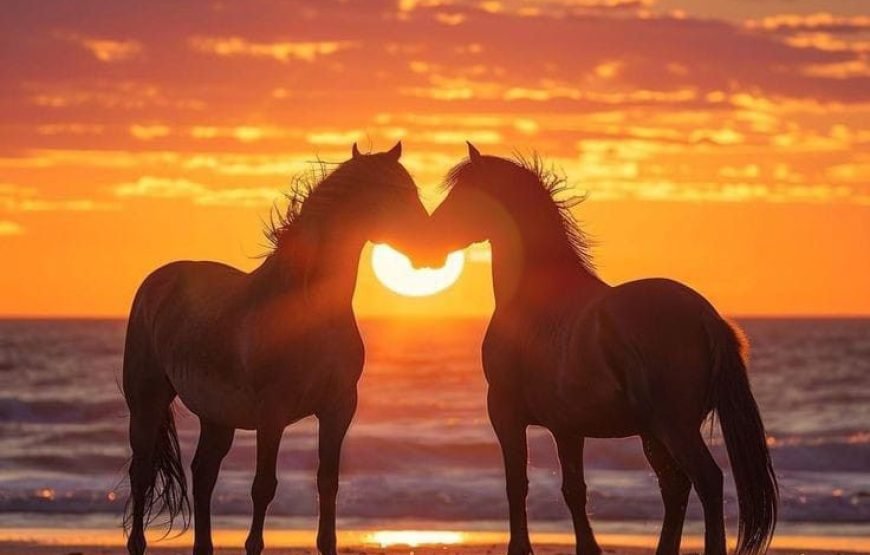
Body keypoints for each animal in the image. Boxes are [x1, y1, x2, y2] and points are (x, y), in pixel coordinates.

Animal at [122, 142, 428, 555]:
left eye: (412, 191)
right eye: (394, 194)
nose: (430, 246)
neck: (306, 308)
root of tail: (156, 282)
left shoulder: (338, 408)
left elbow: (327, 483)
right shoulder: (272, 413)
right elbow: (263, 487)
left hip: (217, 416)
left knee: (203, 474)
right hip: (147, 402)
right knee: (141, 472)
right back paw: (137, 543)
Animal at [411, 143, 777, 555]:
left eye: (464, 197)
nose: (425, 244)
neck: (534, 300)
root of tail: (704, 316)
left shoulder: (505, 413)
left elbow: (517, 485)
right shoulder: (567, 427)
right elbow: (574, 490)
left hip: (674, 427)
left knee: (707, 481)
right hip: (654, 432)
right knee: (675, 487)